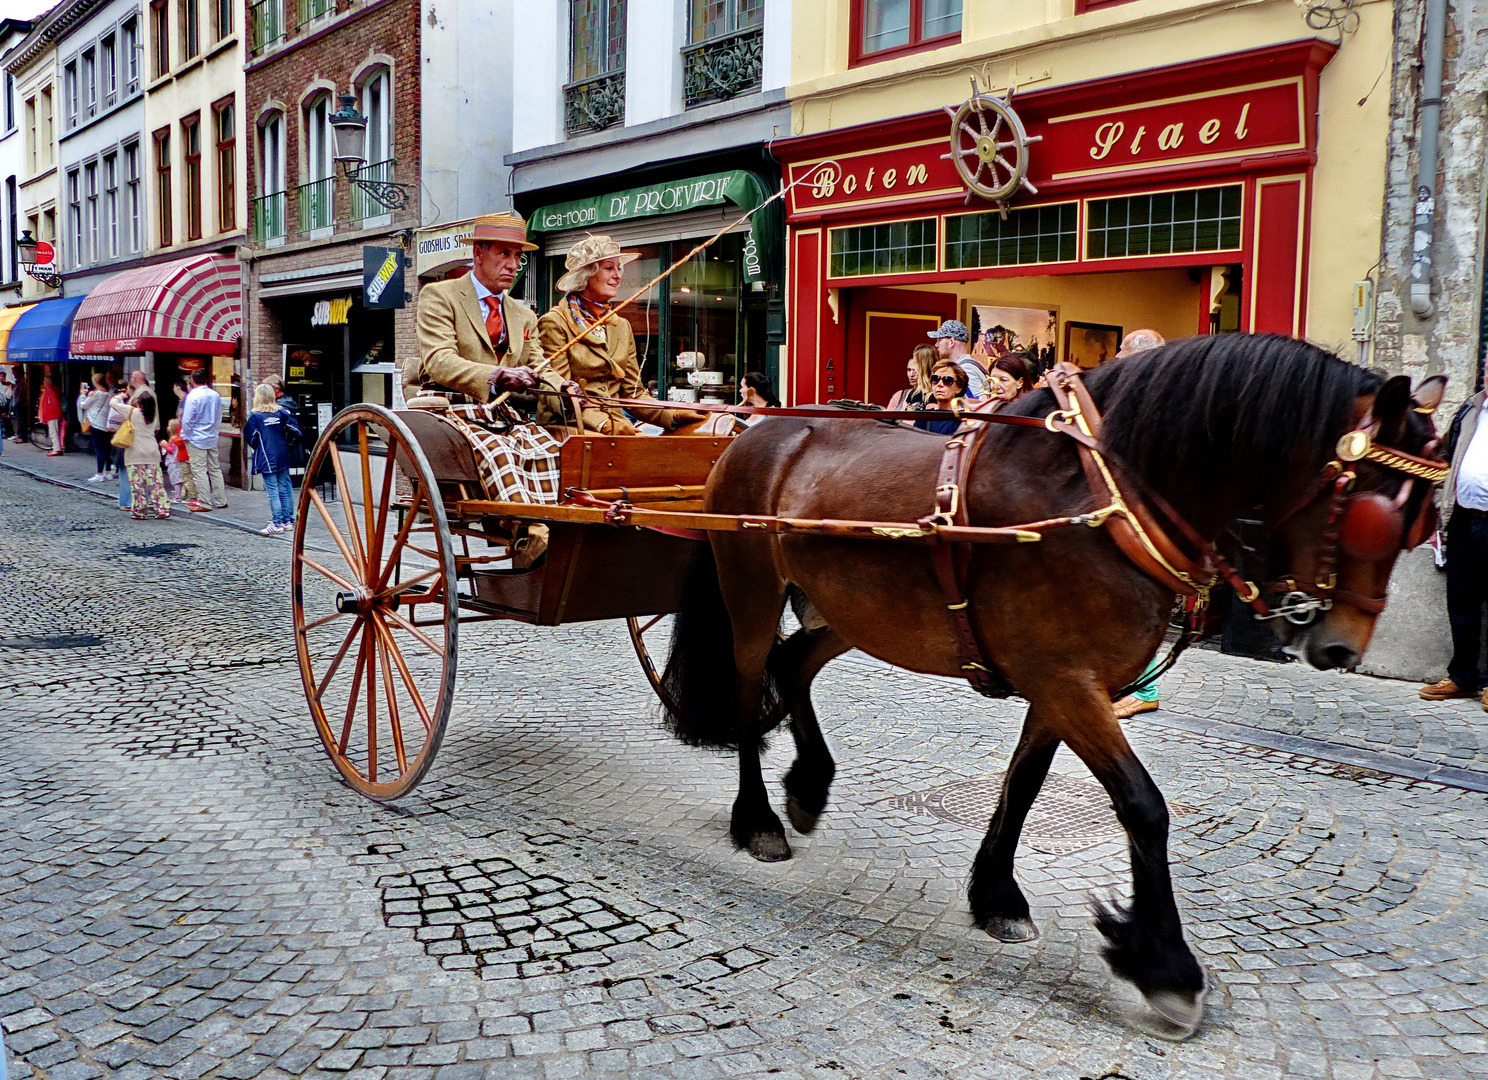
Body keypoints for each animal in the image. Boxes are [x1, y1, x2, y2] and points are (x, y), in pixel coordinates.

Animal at [657, 331, 1446, 1041]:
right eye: (1376, 517)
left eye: (1420, 525)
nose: (1341, 646)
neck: (1105, 503)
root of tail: (760, 429)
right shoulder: (1069, 683)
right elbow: (1143, 807)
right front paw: (1163, 964)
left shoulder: (1059, 683)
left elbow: (1025, 783)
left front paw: (996, 895)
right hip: (753, 593)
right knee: (748, 687)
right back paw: (758, 819)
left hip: (855, 610)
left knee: (794, 666)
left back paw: (809, 784)